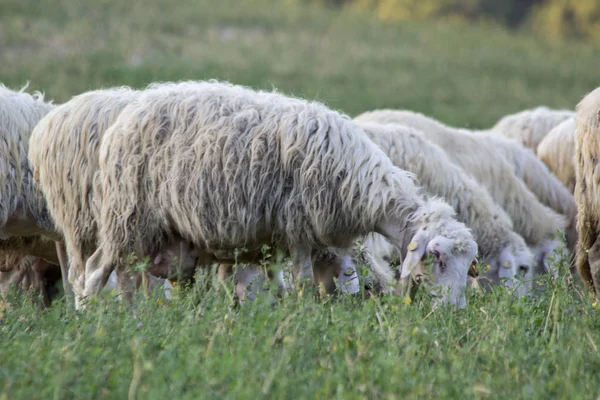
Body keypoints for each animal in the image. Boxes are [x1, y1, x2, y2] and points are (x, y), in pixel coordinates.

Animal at [85, 79, 478, 308]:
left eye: (469, 264)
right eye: (437, 257)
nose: (453, 313)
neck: (359, 184)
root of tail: (125, 116)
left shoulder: (309, 241)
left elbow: (321, 285)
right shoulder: (299, 228)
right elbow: (302, 283)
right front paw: (303, 317)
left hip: (169, 237)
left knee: (136, 281)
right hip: (127, 218)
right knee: (96, 272)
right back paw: (93, 320)